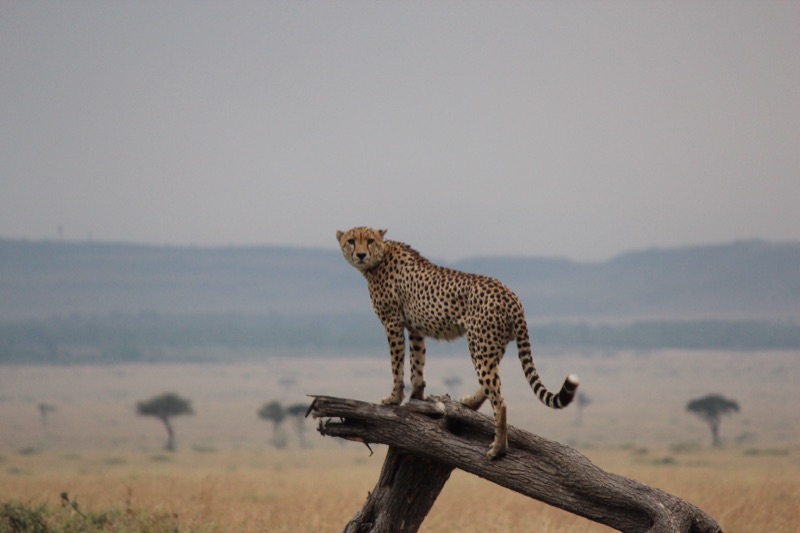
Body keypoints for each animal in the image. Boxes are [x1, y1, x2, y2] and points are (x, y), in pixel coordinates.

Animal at [336, 226, 579, 459]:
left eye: (369, 241)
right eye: (351, 241)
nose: (360, 254)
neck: (380, 257)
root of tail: (511, 295)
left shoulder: (393, 322)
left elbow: (397, 365)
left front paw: (394, 398)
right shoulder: (415, 328)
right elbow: (417, 363)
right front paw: (416, 397)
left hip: (480, 345)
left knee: (499, 401)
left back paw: (498, 449)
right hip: (492, 344)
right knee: (492, 384)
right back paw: (470, 403)